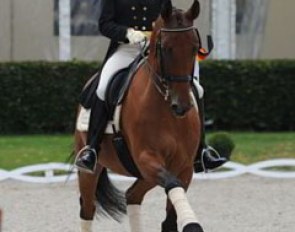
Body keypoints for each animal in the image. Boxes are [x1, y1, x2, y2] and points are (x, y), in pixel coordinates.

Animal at [74, 0, 206, 231]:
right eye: (166, 48)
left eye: (193, 48)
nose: (181, 106)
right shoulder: (147, 158)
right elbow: (172, 185)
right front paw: (192, 223)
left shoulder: (183, 167)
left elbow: (170, 217)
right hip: (92, 169)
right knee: (88, 209)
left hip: (146, 175)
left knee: (132, 195)